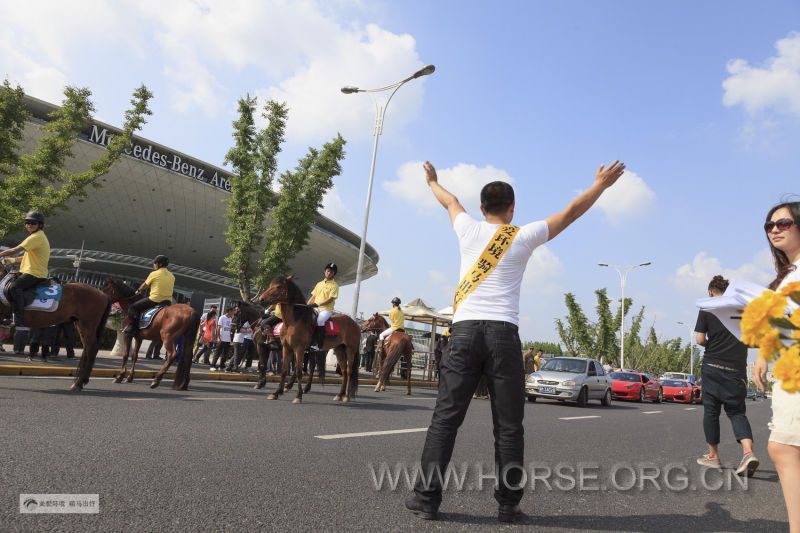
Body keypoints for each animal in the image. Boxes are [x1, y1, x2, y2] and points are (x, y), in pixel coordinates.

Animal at [256, 274, 360, 404]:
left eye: (278, 286)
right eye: (270, 285)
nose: (261, 299)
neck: (294, 321)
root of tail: (355, 324)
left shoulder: (299, 349)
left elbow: (299, 371)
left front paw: (298, 396)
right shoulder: (287, 348)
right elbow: (284, 370)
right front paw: (276, 393)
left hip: (350, 350)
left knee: (349, 371)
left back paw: (346, 396)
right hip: (339, 349)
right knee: (344, 371)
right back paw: (339, 394)